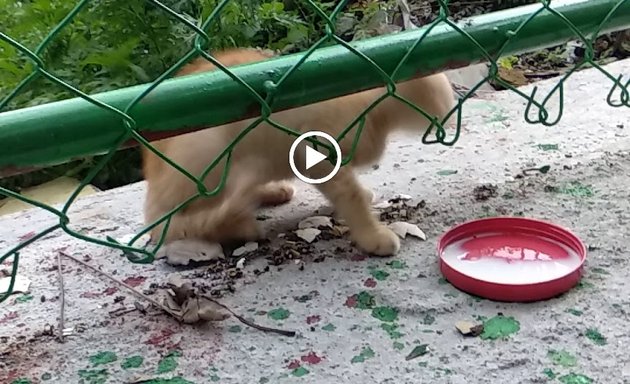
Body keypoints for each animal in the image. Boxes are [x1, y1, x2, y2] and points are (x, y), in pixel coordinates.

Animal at [144, 45, 456, 260]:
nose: (450, 119)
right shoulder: (314, 152)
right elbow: (350, 193)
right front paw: (373, 235)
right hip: (208, 153)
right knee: (174, 223)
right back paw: (238, 225)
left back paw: (269, 192)